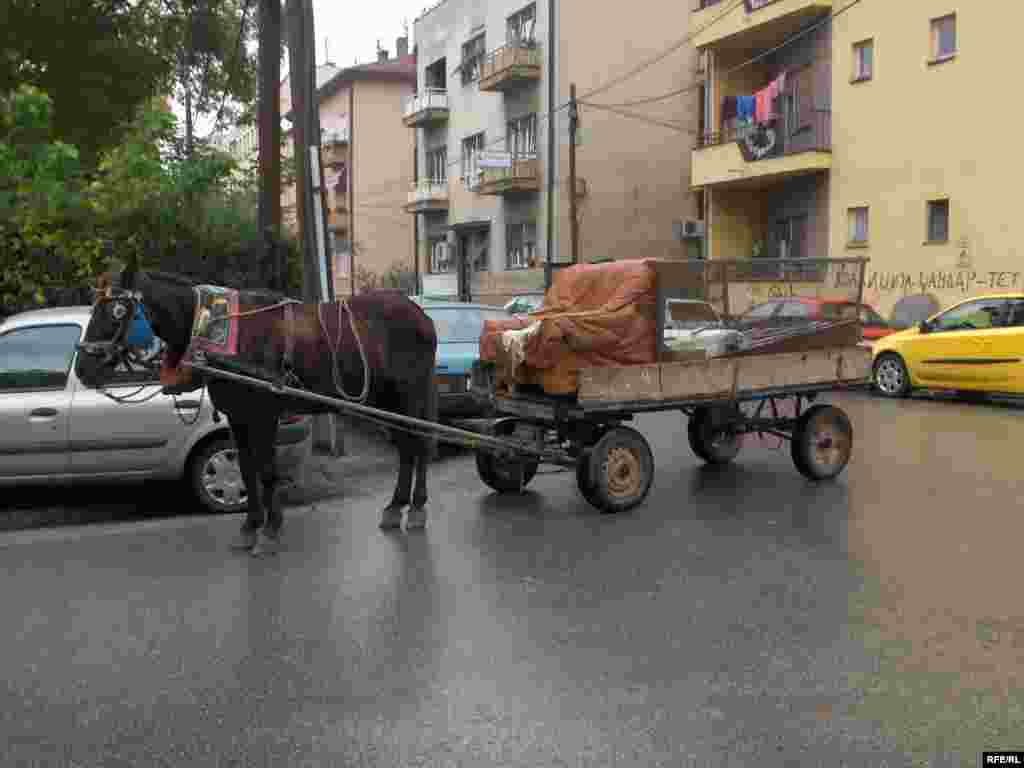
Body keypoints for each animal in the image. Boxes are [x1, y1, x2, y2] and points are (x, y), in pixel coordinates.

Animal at [75, 268, 436, 557]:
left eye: (118, 311)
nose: (83, 368)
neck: (220, 336)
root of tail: (421, 314)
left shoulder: (264, 415)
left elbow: (267, 471)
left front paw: (271, 530)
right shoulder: (239, 417)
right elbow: (247, 471)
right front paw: (250, 527)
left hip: (410, 395)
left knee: (419, 445)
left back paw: (417, 507)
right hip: (387, 400)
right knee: (406, 448)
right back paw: (396, 507)